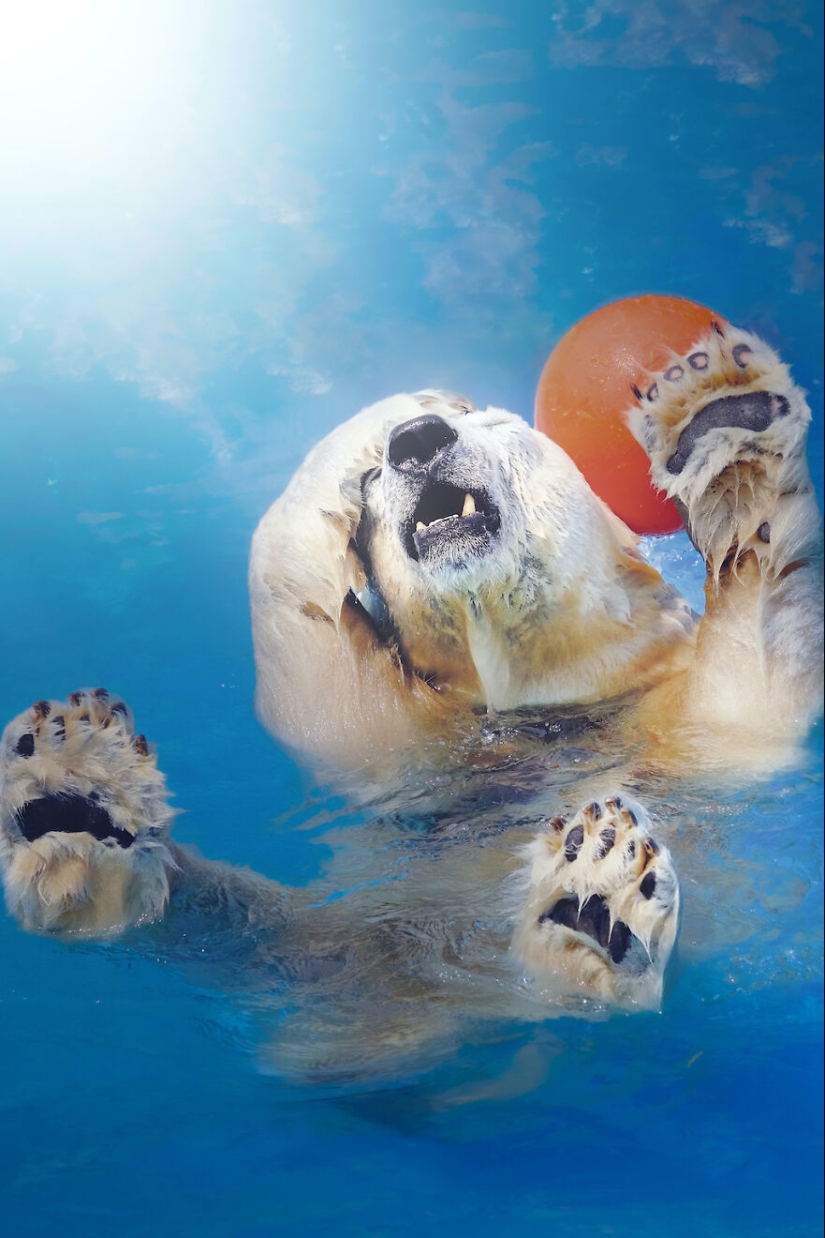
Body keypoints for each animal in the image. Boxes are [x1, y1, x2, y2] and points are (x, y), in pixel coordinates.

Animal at [0, 321, 821, 1046]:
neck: (546, 704)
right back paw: (73, 795)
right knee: (234, 925)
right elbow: (311, 663)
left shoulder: (690, 716)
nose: (418, 440)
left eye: (501, 425)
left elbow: (753, 658)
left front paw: (719, 412)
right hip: (347, 942)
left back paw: (597, 910)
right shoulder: (399, 738)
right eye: (373, 482)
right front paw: (391, 413)